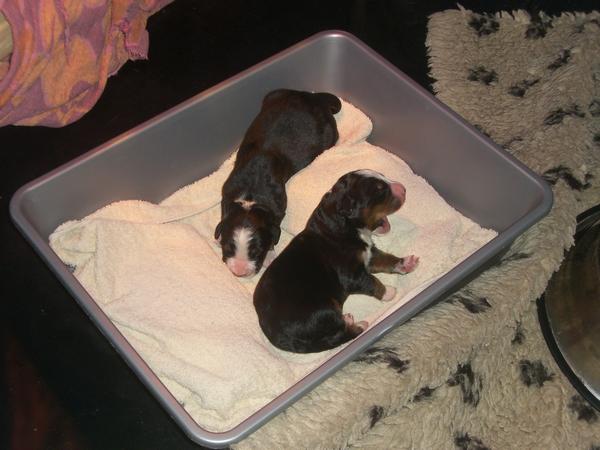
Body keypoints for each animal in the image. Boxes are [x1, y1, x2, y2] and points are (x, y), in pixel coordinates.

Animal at [215, 89, 341, 277]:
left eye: (257, 252)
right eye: (229, 247)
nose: (239, 272)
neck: (251, 193)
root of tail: (311, 96)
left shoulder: (279, 207)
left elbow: (274, 232)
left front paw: (270, 255)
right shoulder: (227, 194)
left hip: (330, 134)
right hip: (273, 94)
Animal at [253, 170, 419, 353]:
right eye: (379, 190)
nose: (403, 189)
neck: (341, 226)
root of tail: (277, 336)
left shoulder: (368, 256)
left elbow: (386, 259)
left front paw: (405, 263)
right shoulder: (351, 275)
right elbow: (372, 282)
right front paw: (388, 292)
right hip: (323, 309)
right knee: (339, 334)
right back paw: (358, 324)